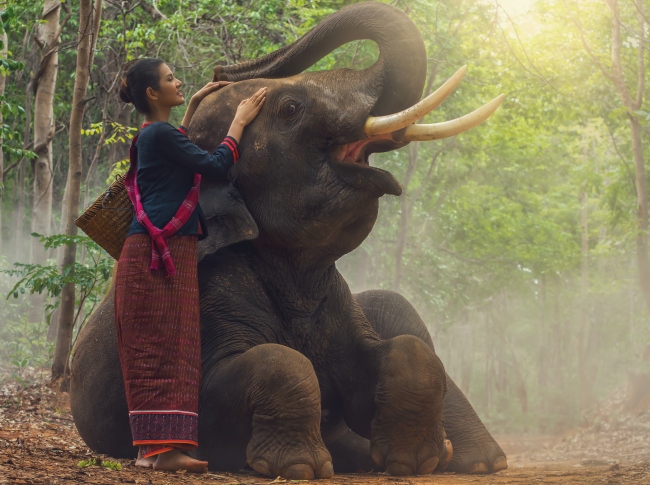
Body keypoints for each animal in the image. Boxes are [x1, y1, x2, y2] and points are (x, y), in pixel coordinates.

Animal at [70, 1, 507, 479]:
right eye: (291, 107)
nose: (218, 74)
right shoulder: (212, 292)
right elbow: (271, 364)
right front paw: (300, 467)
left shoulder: (339, 305)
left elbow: (402, 358)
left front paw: (414, 461)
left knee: (399, 310)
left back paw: (474, 460)